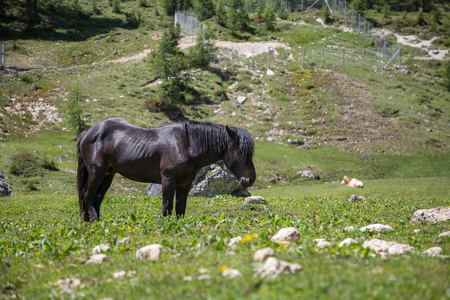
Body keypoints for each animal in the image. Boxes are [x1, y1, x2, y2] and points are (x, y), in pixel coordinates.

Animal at [77, 118, 256, 221]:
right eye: (241, 152)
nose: (250, 179)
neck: (186, 145)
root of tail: (88, 133)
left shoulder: (185, 184)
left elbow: (180, 209)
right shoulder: (168, 179)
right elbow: (167, 206)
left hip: (108, 174)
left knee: (97, 197)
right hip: (97, 172)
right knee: (87, 194)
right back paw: (93, 220)